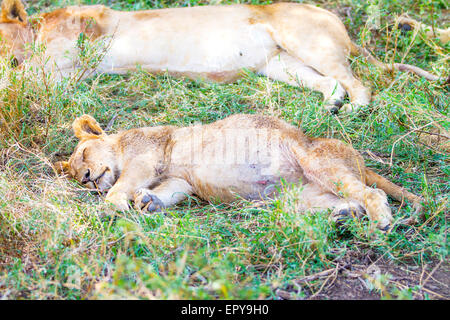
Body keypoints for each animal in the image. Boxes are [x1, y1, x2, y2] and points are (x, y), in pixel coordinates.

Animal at [0, 0, 442, 113]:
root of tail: (332, 16)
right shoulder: (66, 75)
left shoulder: (83, 34)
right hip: (280, 65)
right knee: (330, 83)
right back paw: (330, 106)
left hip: (305, 40)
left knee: (358, 83)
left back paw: (352, 110)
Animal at [54, 114, 424, 231]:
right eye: (76, 175)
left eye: (84, 154)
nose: (87, 180)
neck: (120, 144)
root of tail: (361, 160)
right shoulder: (178, 179)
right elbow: (169, 191)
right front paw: (149, 202)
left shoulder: (146, 156)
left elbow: (123, 184)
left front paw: (113, 205)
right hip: (299, 198)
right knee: (348, 200)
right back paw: (345, 215)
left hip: (316, 161)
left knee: (372, 192)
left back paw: (382, 221)